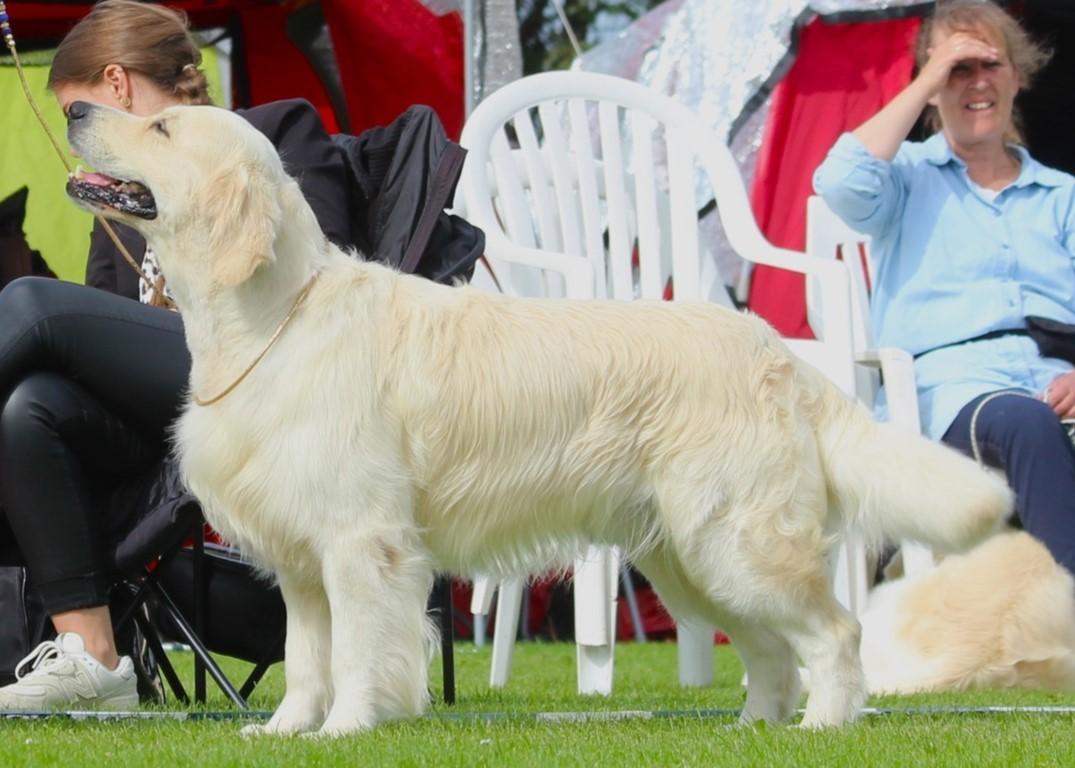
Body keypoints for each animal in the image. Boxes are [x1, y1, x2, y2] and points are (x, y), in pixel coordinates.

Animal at [62, 98, 1010, 731]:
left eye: (160, 128)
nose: (73, 104)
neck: (270, 318)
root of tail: (774, 352)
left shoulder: (363, 542)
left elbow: (361, 652)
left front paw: (347, 729)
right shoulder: (303, 558)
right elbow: (303, 658)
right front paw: (289, 730)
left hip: (736, 541)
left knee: (836, 631)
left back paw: (824, 724)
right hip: (687, 557)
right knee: (772, 650)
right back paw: (754, 730)